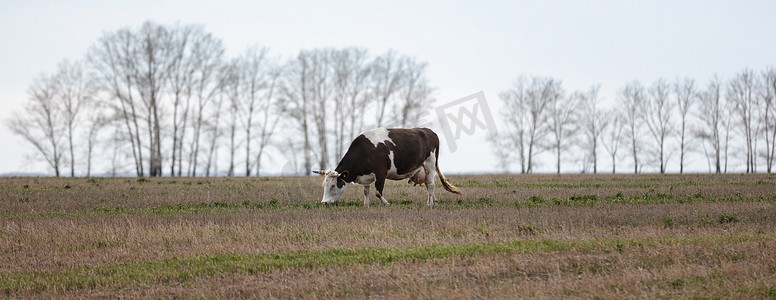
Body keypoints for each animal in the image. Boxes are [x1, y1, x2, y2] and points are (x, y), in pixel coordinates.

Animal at [314, 126, 460, 206]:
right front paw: (366, 205)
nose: (324, 203)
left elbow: (378, 192)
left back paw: (429, 203)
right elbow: (366, 191)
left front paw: (387, 203)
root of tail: (428, 131)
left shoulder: (380, 173)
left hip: (430, 162)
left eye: (333, 185)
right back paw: (434, 201)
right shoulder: (366, 176)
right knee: (429, 183)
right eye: (324, 185)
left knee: (430, 184)